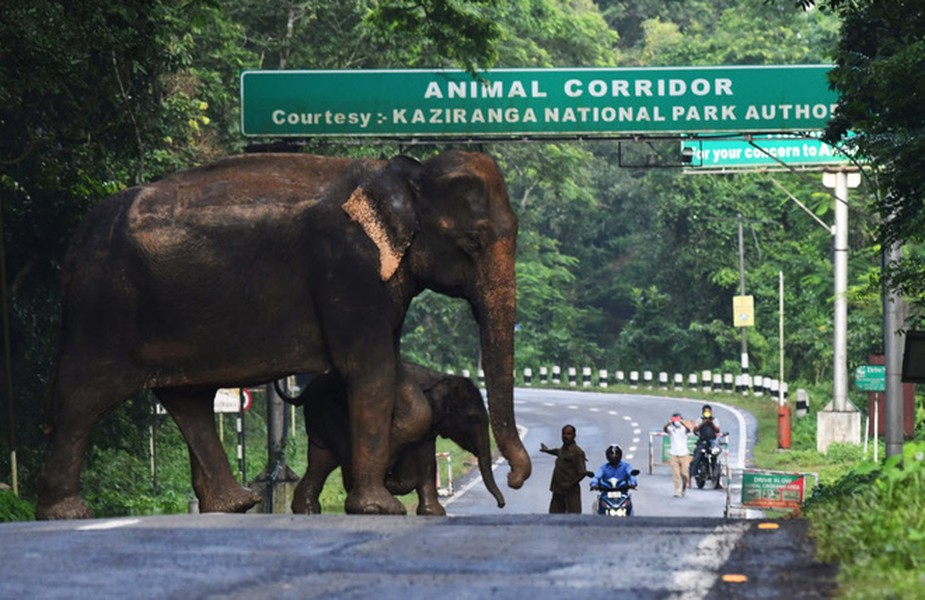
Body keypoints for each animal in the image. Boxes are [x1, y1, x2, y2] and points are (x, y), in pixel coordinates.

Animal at [290, 360, 502, 516]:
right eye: (472, 418)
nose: (501, 505)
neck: (441, 377)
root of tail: (306, 391)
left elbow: (427, 461)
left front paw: (433, 513)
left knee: (321, 461)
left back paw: (307, 510)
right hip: (333, 414)